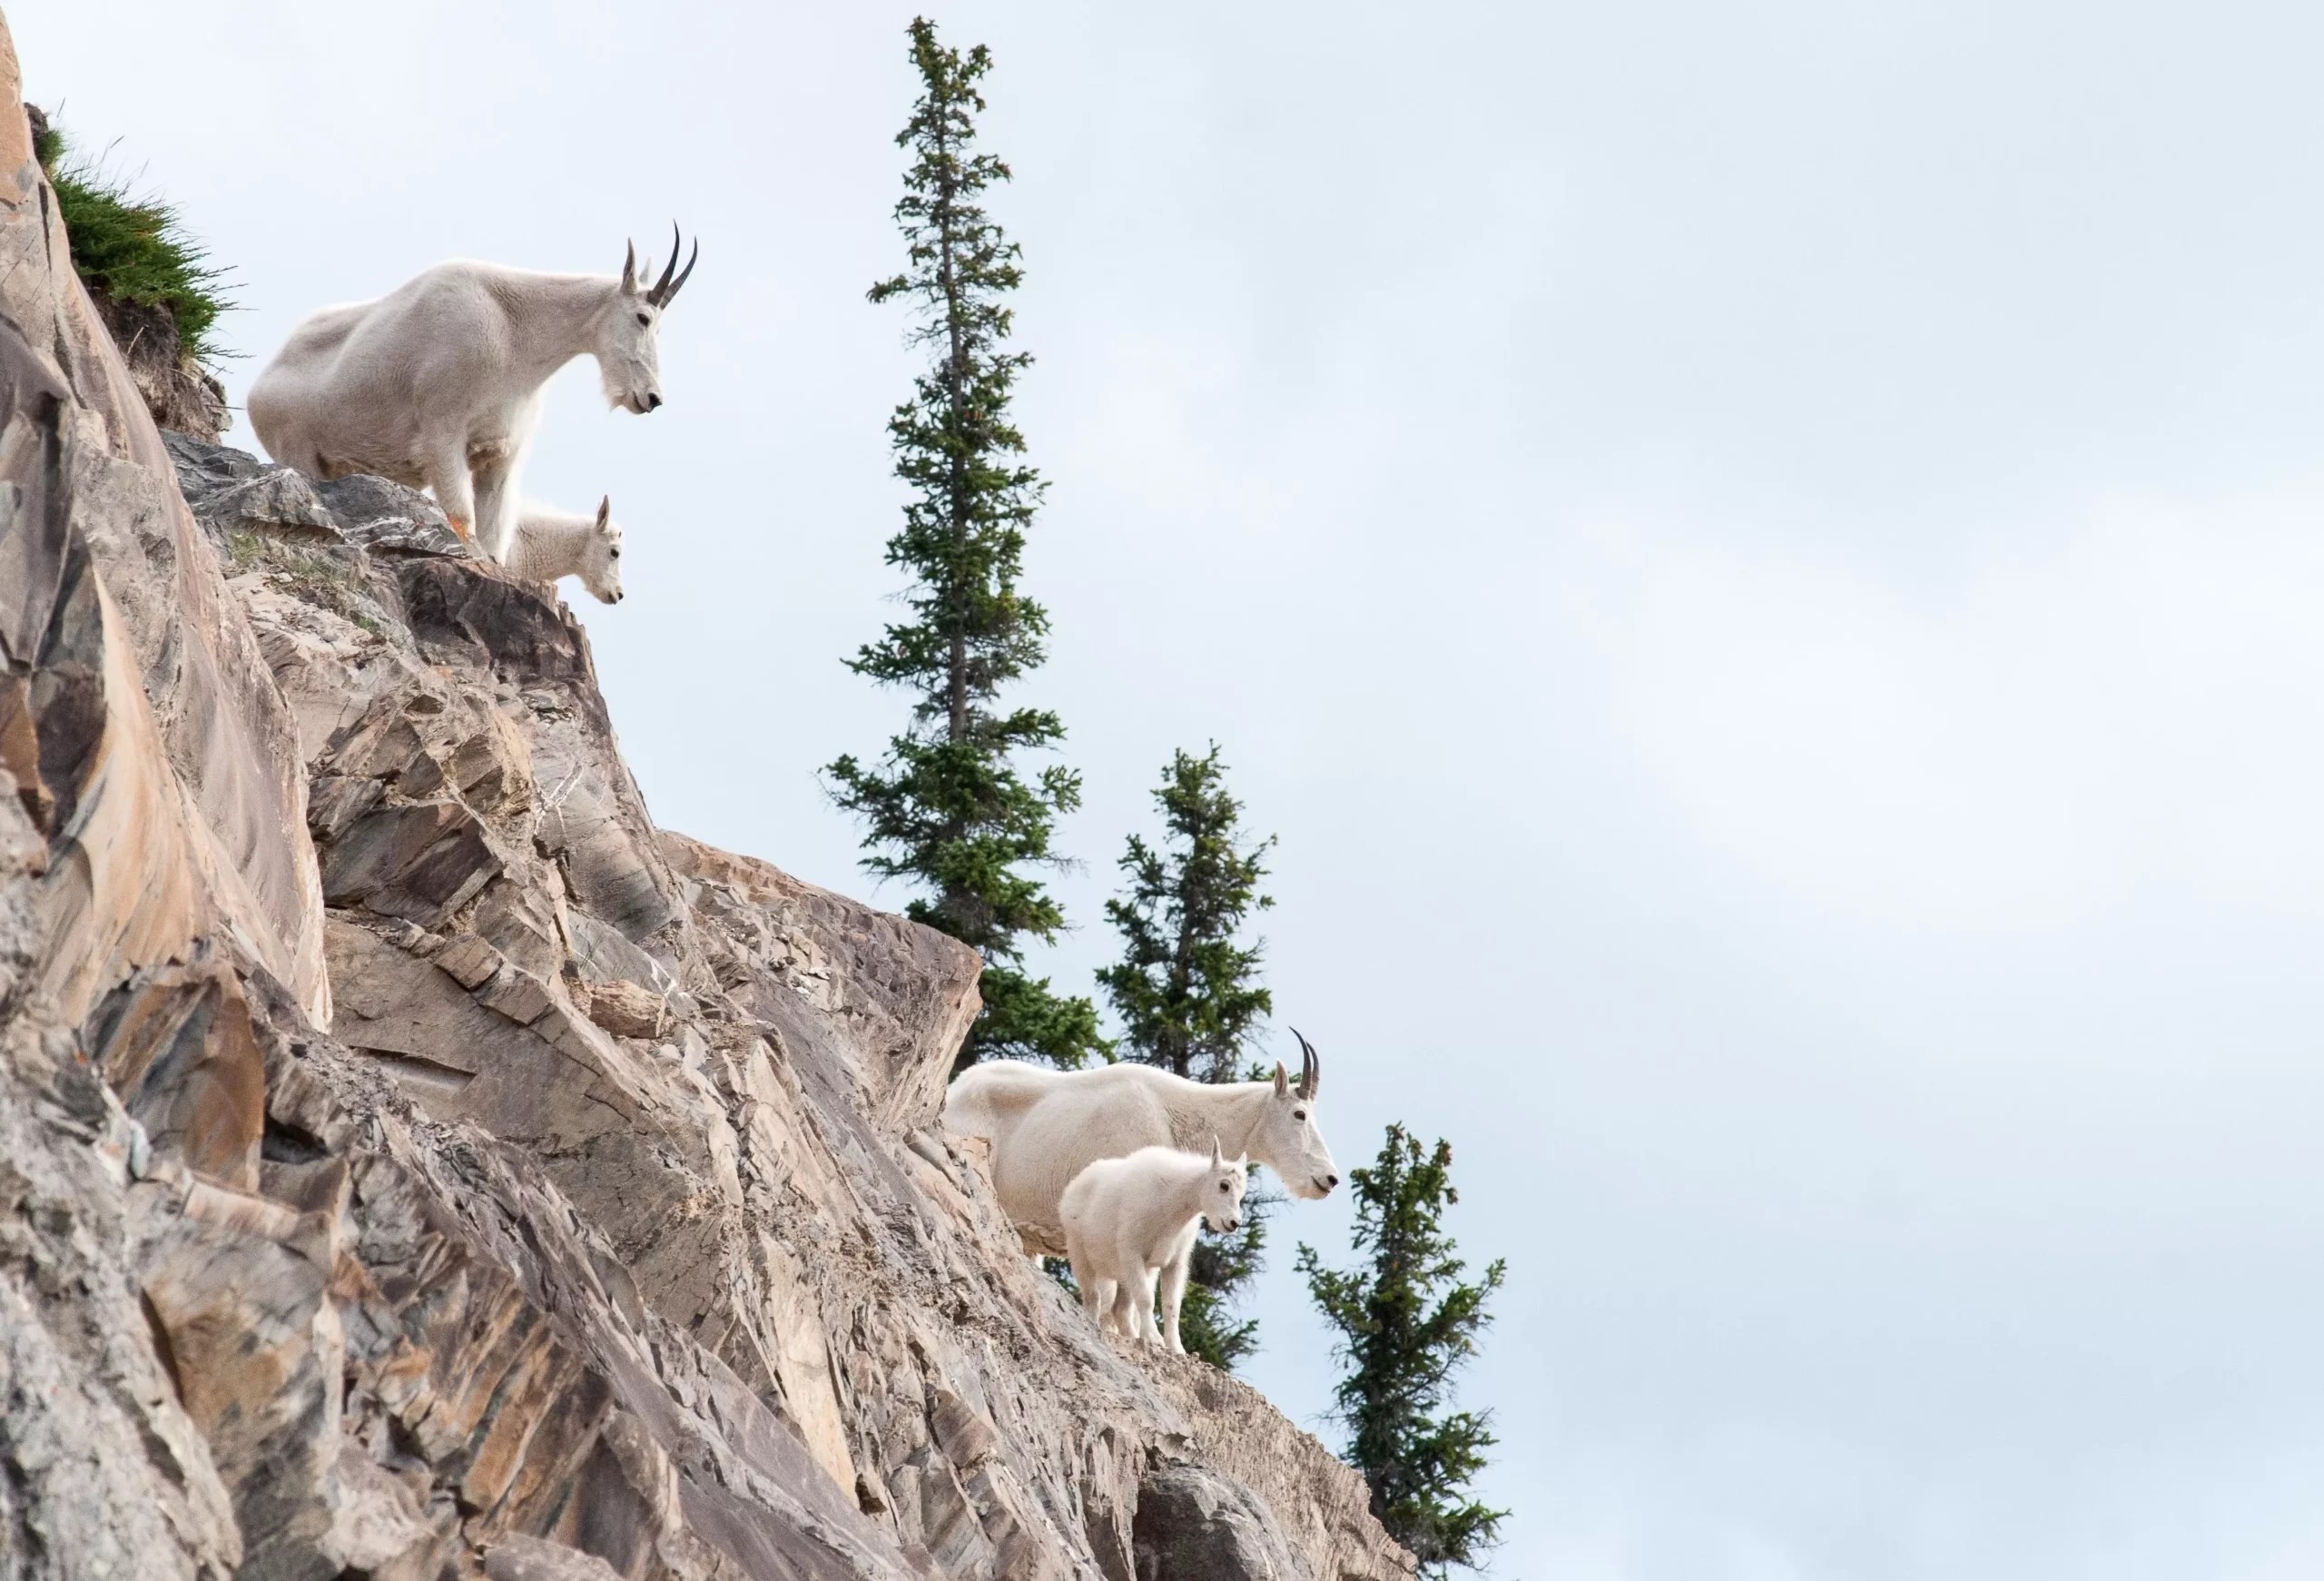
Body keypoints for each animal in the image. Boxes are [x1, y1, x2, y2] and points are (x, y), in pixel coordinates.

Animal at [247, 226, 698, 557]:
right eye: (643, 318)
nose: (652, 398)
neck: (513, 335)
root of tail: (256, 391)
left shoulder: (500, 457)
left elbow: (494, 540)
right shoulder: (443, 435)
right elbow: (462, 521)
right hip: (297, 454)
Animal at [1061, 1139, 1247, 1352]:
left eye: (1242, 1193)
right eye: (1224, 1185)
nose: (1234, 1223)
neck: (1174, 1205)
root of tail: (1073, 1187)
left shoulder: (1175, 1263)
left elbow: (1171, 1306)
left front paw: (1176, 1348)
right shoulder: (1132, 1253)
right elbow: (1146, 1298)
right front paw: (1153, 1337)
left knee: (1121, 1309)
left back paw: (1133, 1335)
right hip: (1079, 1253)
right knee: (1093, 1298)